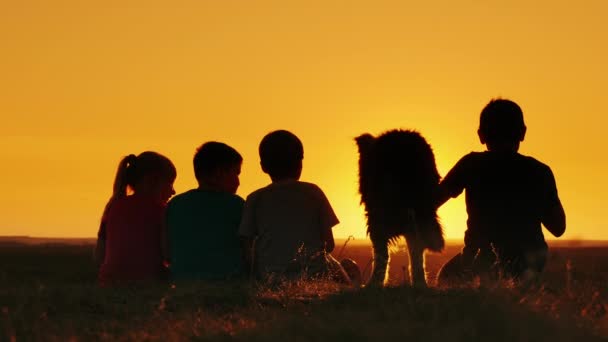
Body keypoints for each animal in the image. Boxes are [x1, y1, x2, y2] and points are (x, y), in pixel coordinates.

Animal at [354, 130, 444, 288]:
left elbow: (381, 253)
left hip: (379, 213)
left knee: (384, 251)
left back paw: (373, 283)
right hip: (421, 208)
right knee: (417, 246)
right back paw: (420, 283)